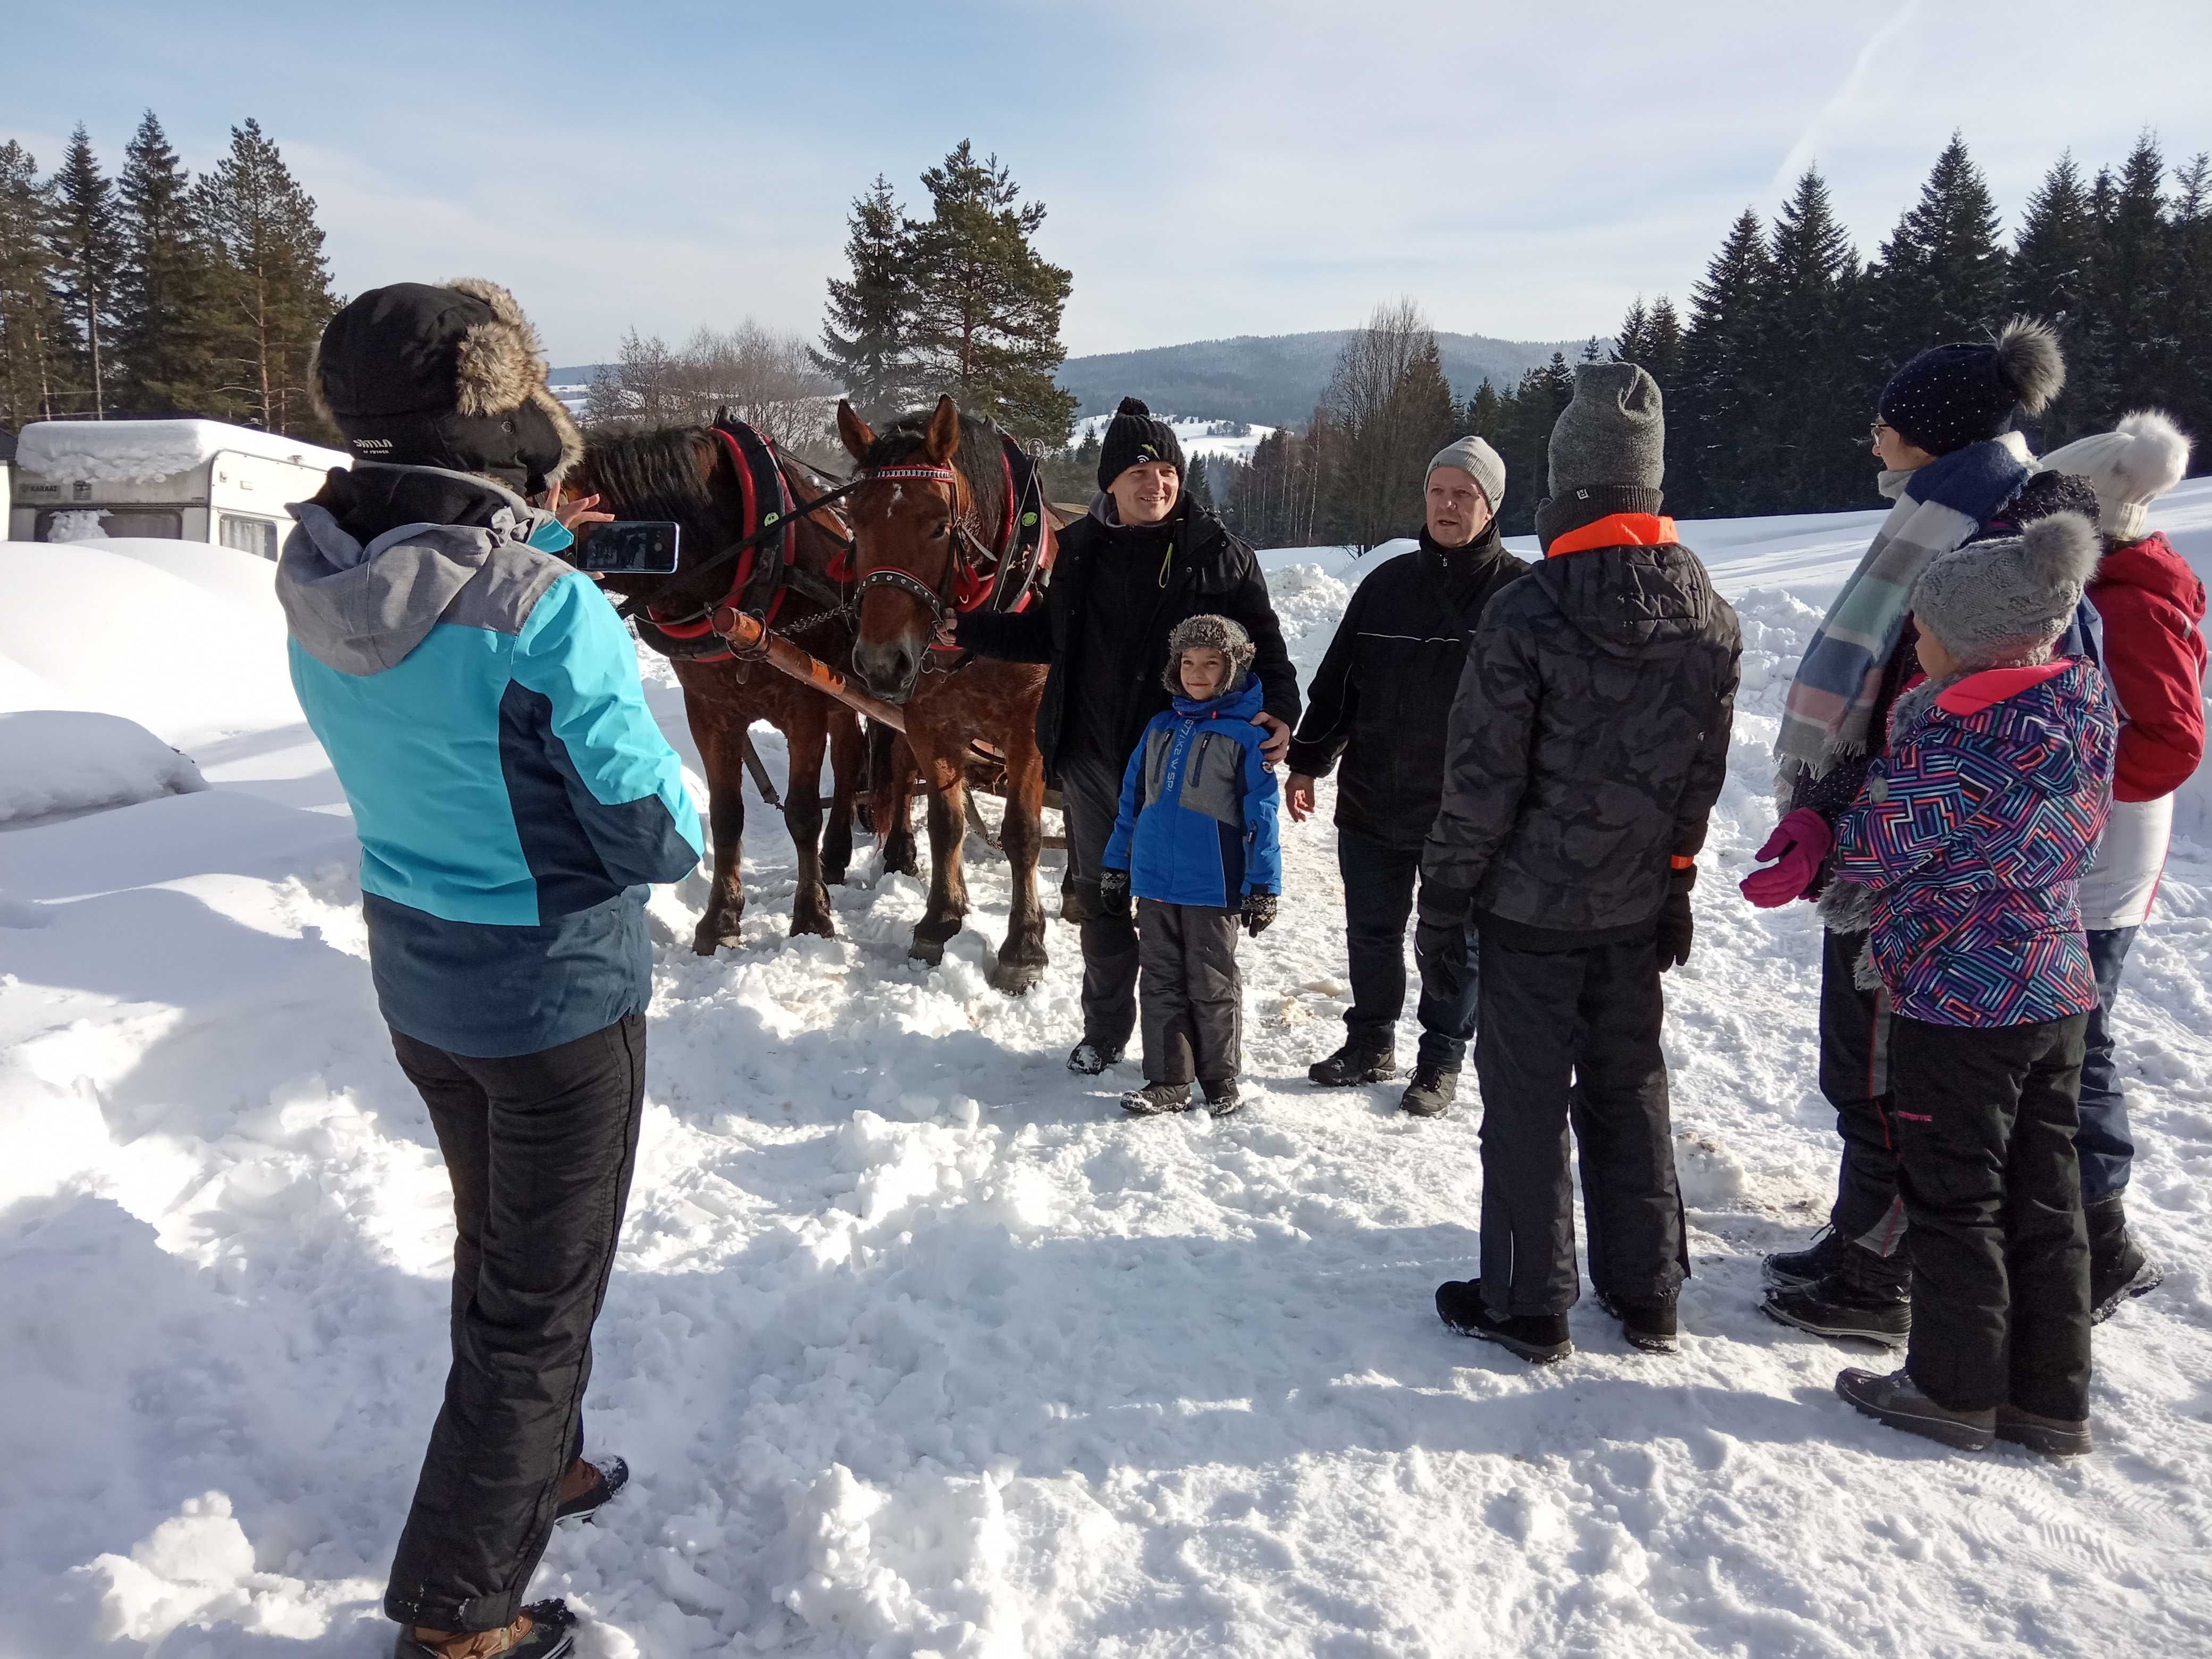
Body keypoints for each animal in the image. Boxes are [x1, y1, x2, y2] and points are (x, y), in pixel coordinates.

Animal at [571, 422, 862, 956]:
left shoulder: (805, 706)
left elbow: (803, 813)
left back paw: (837, 853)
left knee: (852, 758)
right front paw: (720, 919)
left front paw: (812, 915)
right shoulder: (709, 712)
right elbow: (727, 815)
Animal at [840, 400, 1057, 1000]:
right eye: (854, 520)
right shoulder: (927, 723)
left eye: (940, 526)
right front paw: (940, 919)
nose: (880, 662)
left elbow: (1023, 834)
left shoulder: (1028, 733)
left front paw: (1024, 947)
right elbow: (947, 823)